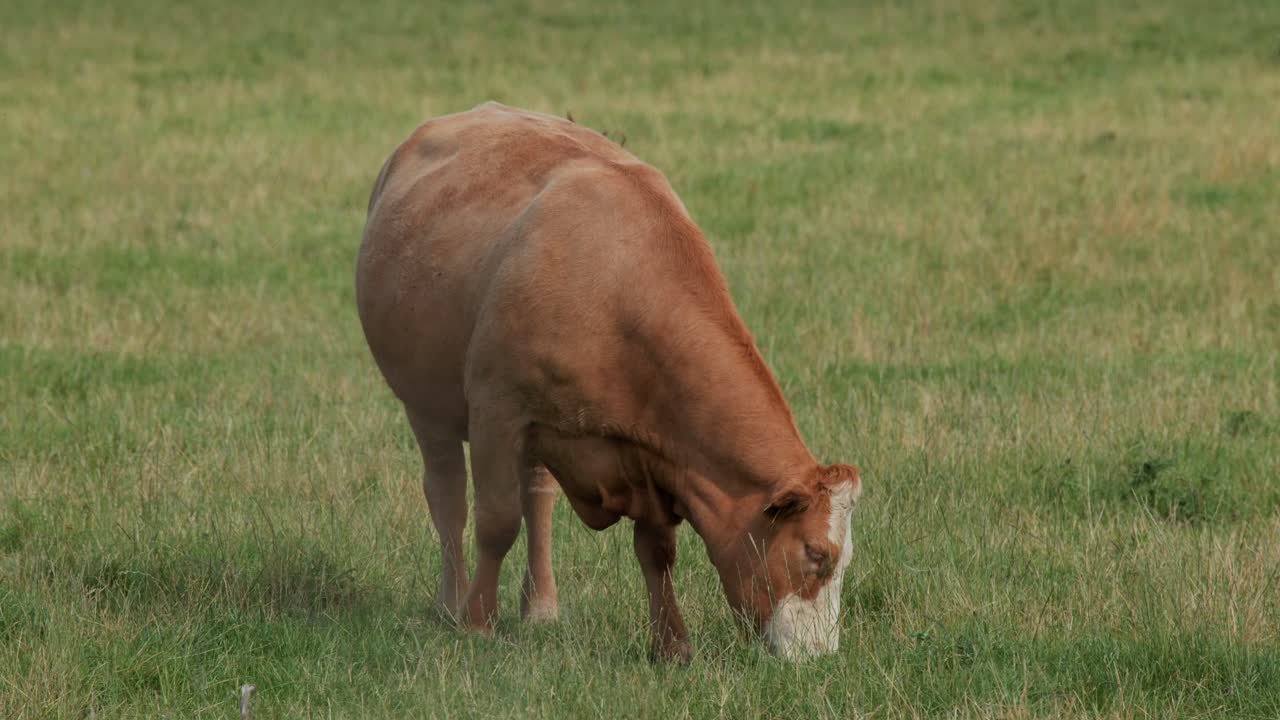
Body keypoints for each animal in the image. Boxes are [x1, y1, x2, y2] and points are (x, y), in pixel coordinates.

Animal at [355, 102, 861, 661]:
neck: (618, 290)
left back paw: (541, 606)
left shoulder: (654, 452)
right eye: (816, 553)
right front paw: (477, 624)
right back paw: (452, 603)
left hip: (539, 436)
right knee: (448, 496)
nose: (819, 657)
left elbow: (656, 550)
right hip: (428, 407)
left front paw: (672, 644)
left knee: (538, 498)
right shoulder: (495, 410)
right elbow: (495, 521)